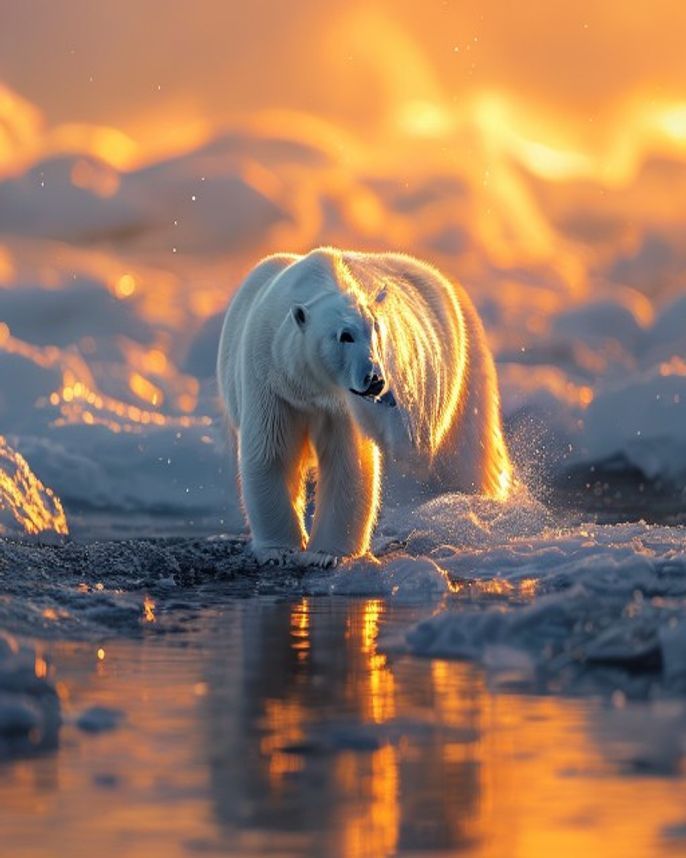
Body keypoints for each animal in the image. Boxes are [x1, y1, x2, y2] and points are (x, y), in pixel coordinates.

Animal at [216, 247, 512, 566]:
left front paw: (326, 553)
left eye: (376, 330)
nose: (375, 380)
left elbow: (349, 463)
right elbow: (273, 452)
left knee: (467, 450)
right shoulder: (271, 380)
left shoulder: (343, 406)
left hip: (466, 368)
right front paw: (280, 550)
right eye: (344, 335)